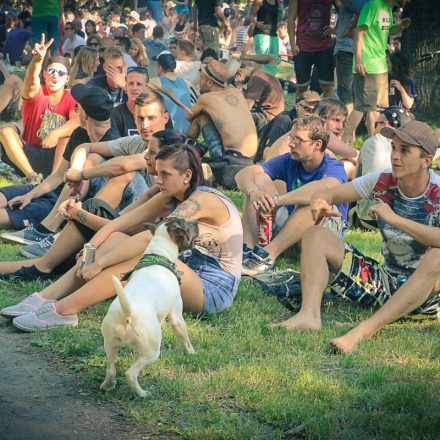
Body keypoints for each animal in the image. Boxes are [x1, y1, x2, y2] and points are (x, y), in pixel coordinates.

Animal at [100, 218, 199, 398]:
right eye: (186, 224)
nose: (196, 221)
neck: (159, 254)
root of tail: (128, 313)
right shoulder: (176, 316)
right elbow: (185, 339)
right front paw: (192, 353)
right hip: (152, 352)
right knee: (131, 373)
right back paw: (142, 393)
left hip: (110, 345)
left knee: (111, 369)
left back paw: (108, 386)